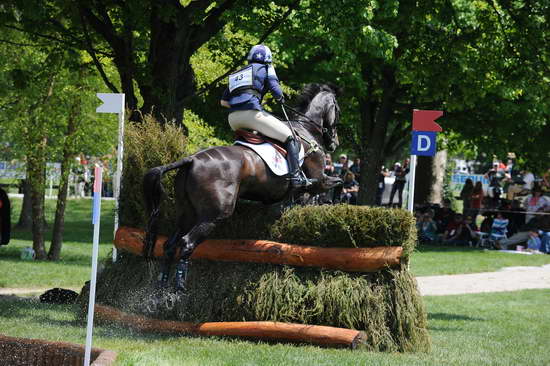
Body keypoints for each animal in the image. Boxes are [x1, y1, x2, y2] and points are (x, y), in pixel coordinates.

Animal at [141, 82, 344, 298]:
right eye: (338, 110)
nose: (335, 143)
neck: (306, 130)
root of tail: (191, 160)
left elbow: (299, 200)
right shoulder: (319, 180)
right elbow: (337, 183)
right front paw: (330, 202)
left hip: (187, 213)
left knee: (170, 245)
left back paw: (160, 289)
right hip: (214, 215)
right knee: (187, 243)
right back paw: (177, 289)